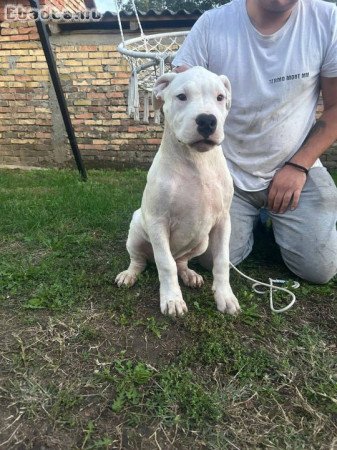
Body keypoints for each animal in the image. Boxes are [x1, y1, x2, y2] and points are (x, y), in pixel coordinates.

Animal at [115, 66, 239, 316]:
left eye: (220, 97)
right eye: (181, 96)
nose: (207, 120)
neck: (197, 161)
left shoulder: (223, 221)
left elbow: (222, 261)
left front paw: (225, 297)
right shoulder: (158, 221)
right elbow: (165, 264)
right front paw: (172, 300)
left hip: (201, 242)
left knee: (181, 261)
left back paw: (189, 274)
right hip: (136, 232)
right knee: (141, 260)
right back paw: (129, 275)